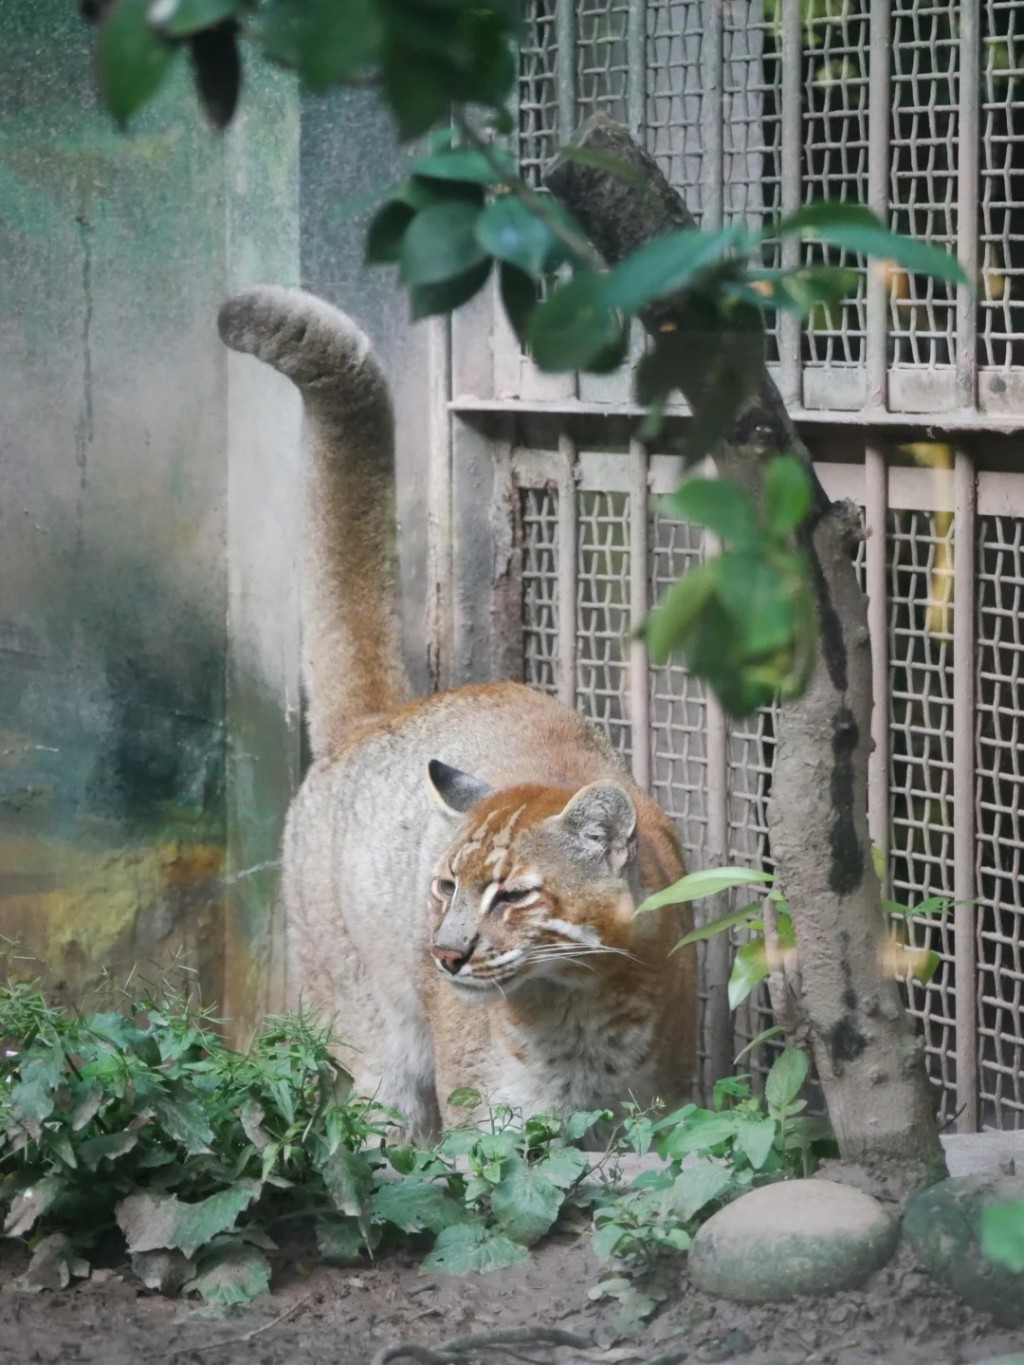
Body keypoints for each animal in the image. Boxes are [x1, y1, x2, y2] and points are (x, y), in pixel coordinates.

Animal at [217, 288, 699, 1141]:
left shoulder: (665, 1114)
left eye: (512, 895)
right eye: (444, 886)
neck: (578, 1011)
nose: (444, 955)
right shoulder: (492, 1131)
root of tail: (384, 715)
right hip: (373, 1049)